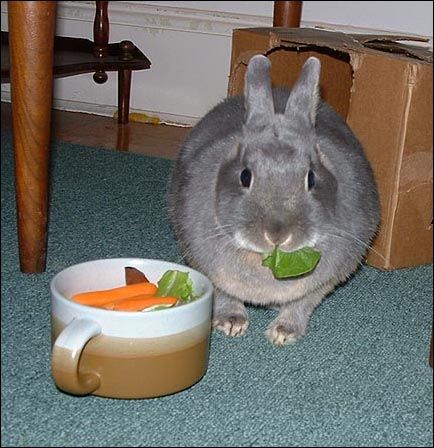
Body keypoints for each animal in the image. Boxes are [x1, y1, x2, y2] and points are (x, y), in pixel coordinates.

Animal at [167, 56, 380, 346]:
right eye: (245, 176)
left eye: (311, 178)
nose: (277, 235)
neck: (265, 259)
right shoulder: (208, 268)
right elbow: (224, 295)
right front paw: (231, 323)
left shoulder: (323, 282)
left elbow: (301, 304)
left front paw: (283, 333)